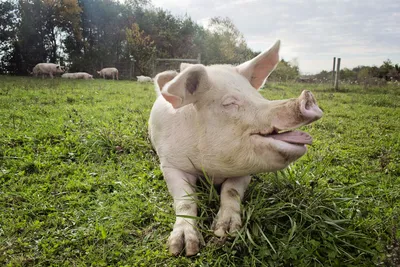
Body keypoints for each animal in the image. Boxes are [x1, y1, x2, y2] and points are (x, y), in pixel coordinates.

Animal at [148, 40, 324, 258]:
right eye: (230, 103)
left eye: (257, 95)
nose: (308, 97)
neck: (213, 171)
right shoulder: (170, 164)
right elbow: (186, 199)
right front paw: (183, 249)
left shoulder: (245, 170)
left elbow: (231, 191)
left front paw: (226, 232)